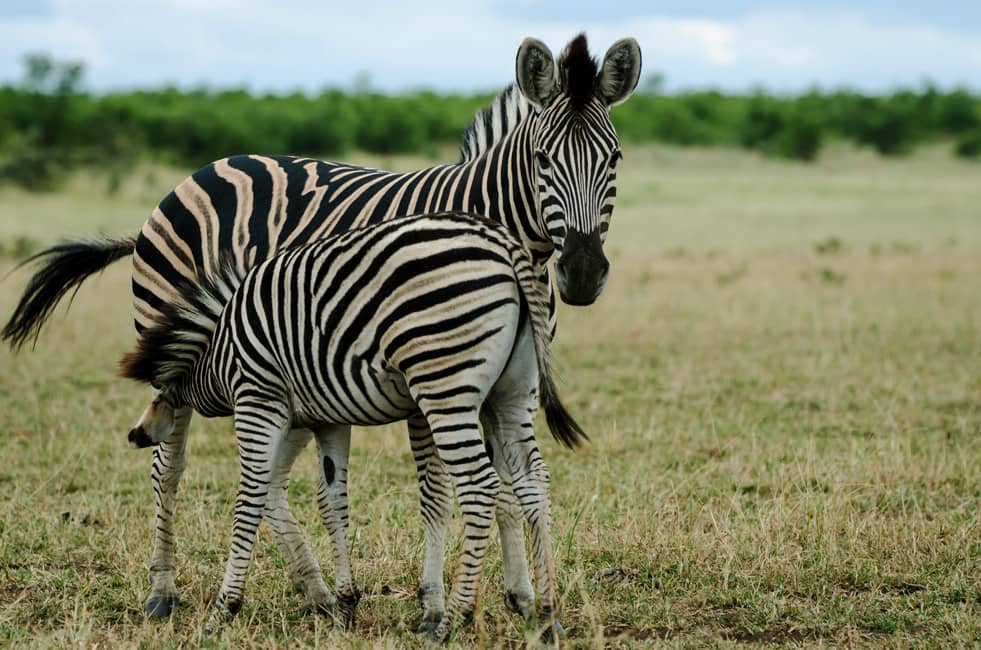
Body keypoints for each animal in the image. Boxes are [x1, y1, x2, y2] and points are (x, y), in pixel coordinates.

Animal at [118, 212, 586, 642]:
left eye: (159, 396)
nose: (135, 435)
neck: (220, 349)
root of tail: (507, 245)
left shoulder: (258, 398)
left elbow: (249, 499)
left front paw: (223, 611)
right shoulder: (329, 419)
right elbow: (332, 503)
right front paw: (345, 605)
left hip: (445, 386)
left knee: (479, 488)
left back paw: (451, 619)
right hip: (511, 393)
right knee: (534, 480)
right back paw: (545, 615)